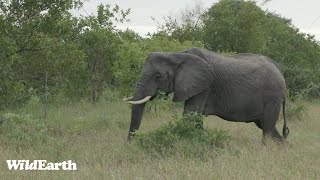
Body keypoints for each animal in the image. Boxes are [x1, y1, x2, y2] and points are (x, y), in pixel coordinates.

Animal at [125, 47, 290, 143]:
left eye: (158, 76)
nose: (130, 143)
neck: (177, 54)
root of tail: (279, 68)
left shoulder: (204, 85)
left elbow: (189, 115)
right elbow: (194, 117)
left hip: (272, 95)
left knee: (267, 127)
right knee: (266, 126)